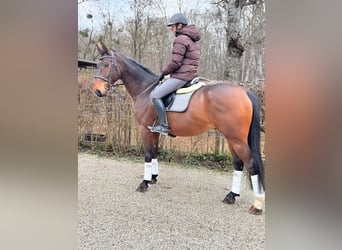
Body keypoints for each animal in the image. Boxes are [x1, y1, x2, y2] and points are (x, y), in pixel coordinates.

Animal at [91, 42, 264, 214]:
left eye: (106, 65)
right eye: (98, 65)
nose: (97, 91)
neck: (146, 89)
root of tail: (245, 91)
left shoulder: (145, 129)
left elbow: (147, 154)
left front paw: (144, 183)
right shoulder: (154, 131)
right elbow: (154, 152)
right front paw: (153, 178)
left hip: (237, 140)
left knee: (251, 165)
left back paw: (257, 204)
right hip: (230, 139)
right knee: (238, 164)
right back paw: (231, 196)